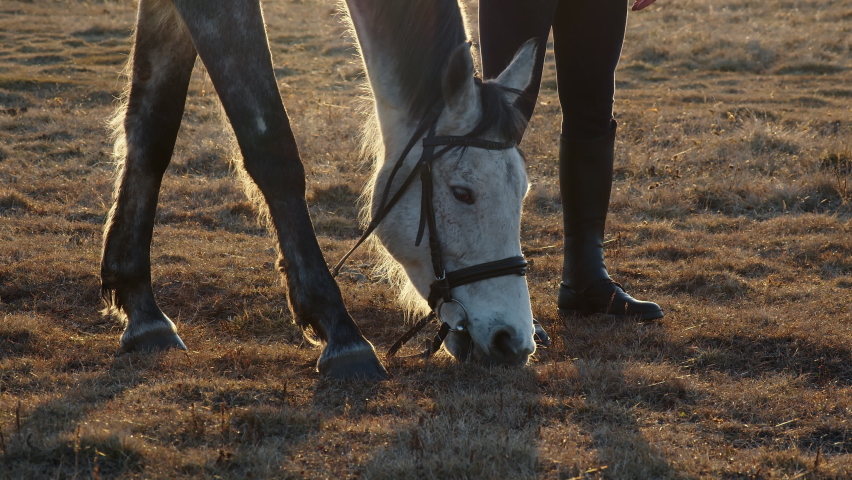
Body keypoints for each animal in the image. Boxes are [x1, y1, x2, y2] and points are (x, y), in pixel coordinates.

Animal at [100, 0, 537, 380]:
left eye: (522, 193)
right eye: (463, 193)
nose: (515, 341)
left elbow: (153, 127)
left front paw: (141, 310)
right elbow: (271, 147)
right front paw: (340, 332)